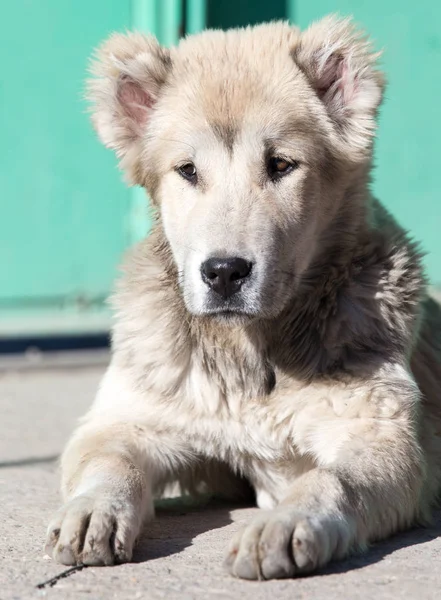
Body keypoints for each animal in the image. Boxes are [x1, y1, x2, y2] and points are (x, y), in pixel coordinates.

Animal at [44, 16, 440, 580]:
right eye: (187, 171)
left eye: (281, 165)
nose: (225, 272)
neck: (251, 355)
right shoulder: (127, 418)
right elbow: (109, 461)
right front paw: (93, 509)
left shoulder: (382, 436)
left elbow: (332, 479)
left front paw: (289, 521)